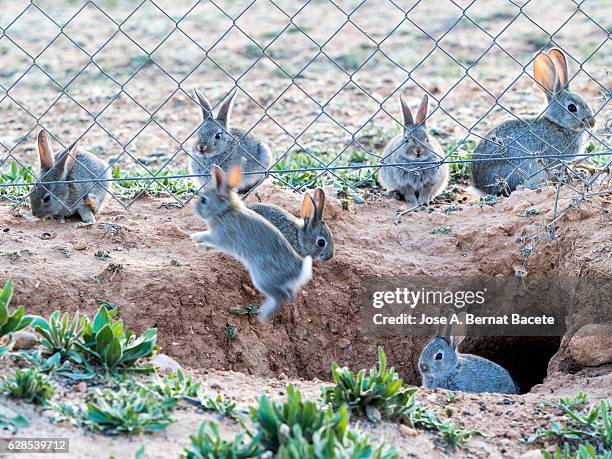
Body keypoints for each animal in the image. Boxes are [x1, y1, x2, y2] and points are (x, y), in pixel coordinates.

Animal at [190, 164, 316, 322]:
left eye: (204, 200)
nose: (194, 209)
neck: (224, 211)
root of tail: (299, 269)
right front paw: (200, 245)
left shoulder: (219, 236)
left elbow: (208, 237)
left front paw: (194, 236)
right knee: (290, 294)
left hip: (262, 279)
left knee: (282, 296)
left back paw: (263, 315)